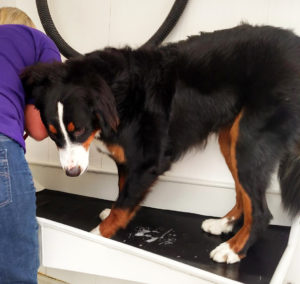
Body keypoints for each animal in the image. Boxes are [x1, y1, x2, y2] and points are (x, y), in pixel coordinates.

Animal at [21, 24, 300, 264]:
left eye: (79, 129)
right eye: (53, 134)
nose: (71, 173)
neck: (117, 94)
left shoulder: (145, 161)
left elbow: (124, 203)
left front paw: (97, 235)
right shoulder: (127, 159)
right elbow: (122, 193)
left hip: (249, 140)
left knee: (261, 211)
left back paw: (233, 250)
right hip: (231, 139)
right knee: (244, 194)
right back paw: (224, 225)